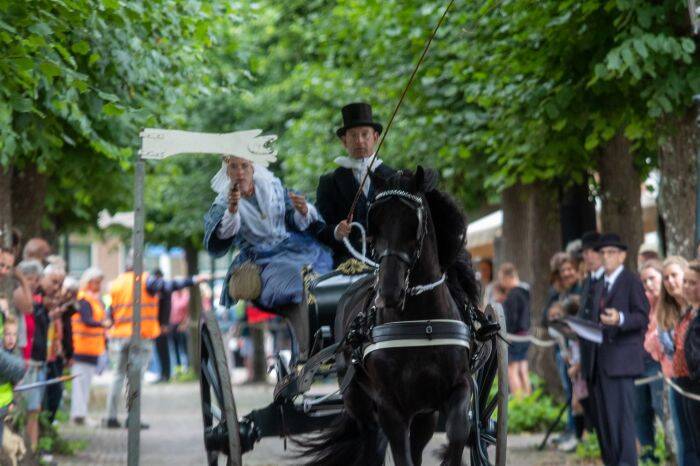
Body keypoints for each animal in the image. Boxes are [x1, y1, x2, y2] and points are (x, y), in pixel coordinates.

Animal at [300, 167, 482, 466]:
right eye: (375, 223)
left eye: (413, 223)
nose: (388, 292)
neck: (422, 325)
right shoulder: (390, 406)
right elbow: (399, 453)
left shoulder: (458, 387)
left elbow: (457, 435)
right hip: (358, 401)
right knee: (370, 443)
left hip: (424, 412)